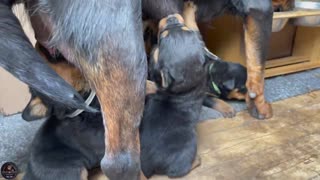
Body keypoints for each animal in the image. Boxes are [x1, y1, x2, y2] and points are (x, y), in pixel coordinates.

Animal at [139, 14, 206, 178]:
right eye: (187, 29)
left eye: (162, 38)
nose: (171, 17)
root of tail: (148, 164)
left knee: (176, 172)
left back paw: (196, 160)